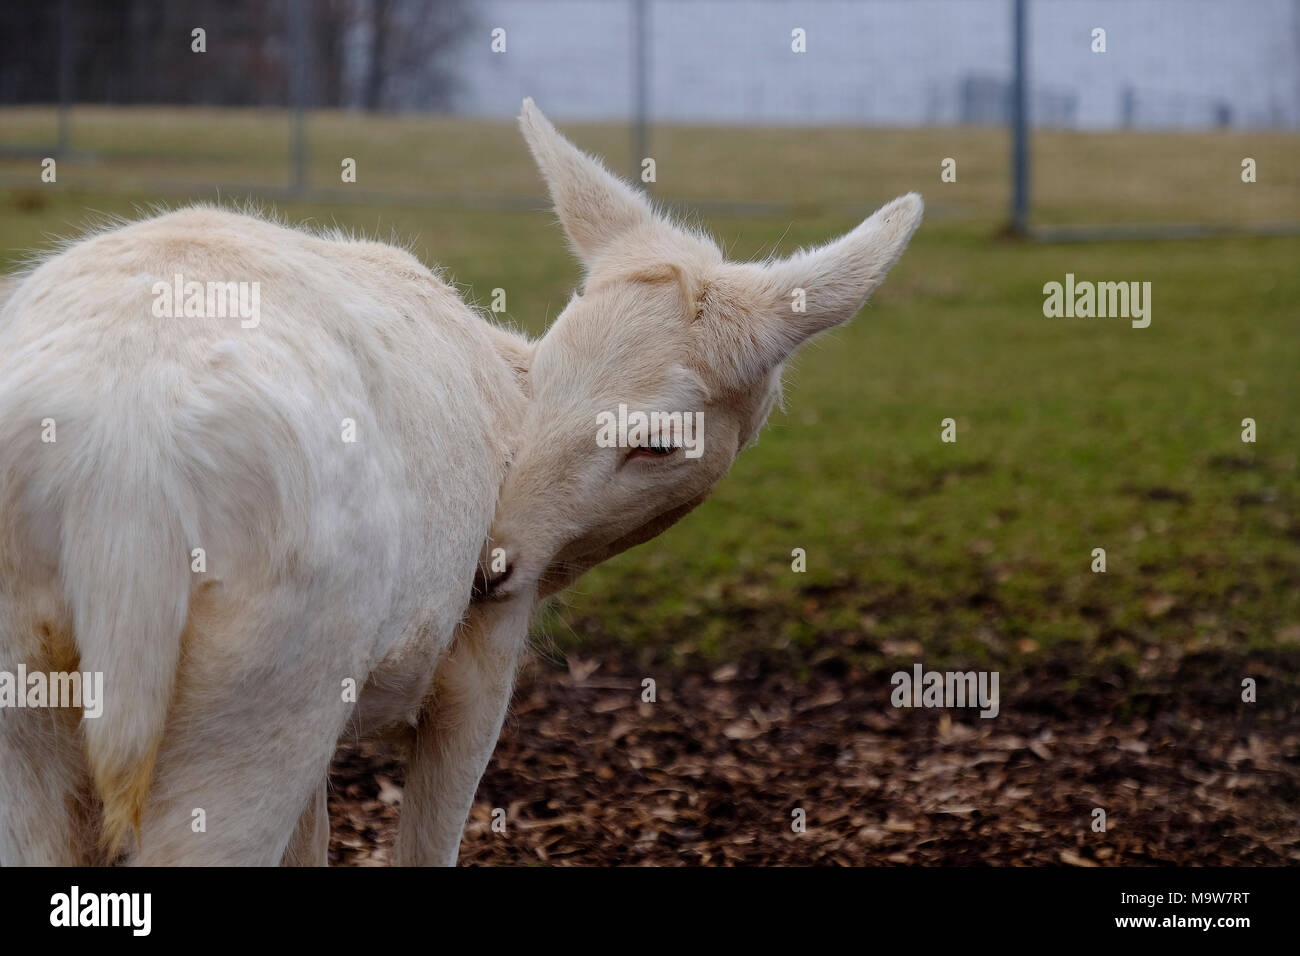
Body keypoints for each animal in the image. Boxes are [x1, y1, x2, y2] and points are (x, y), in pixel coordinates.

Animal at [0, 99, 921, 865]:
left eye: (658, 442)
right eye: (548, 376)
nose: (488, 566)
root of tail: (118, 478)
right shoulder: (482, 661)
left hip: (30, 699)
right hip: (269, 688)